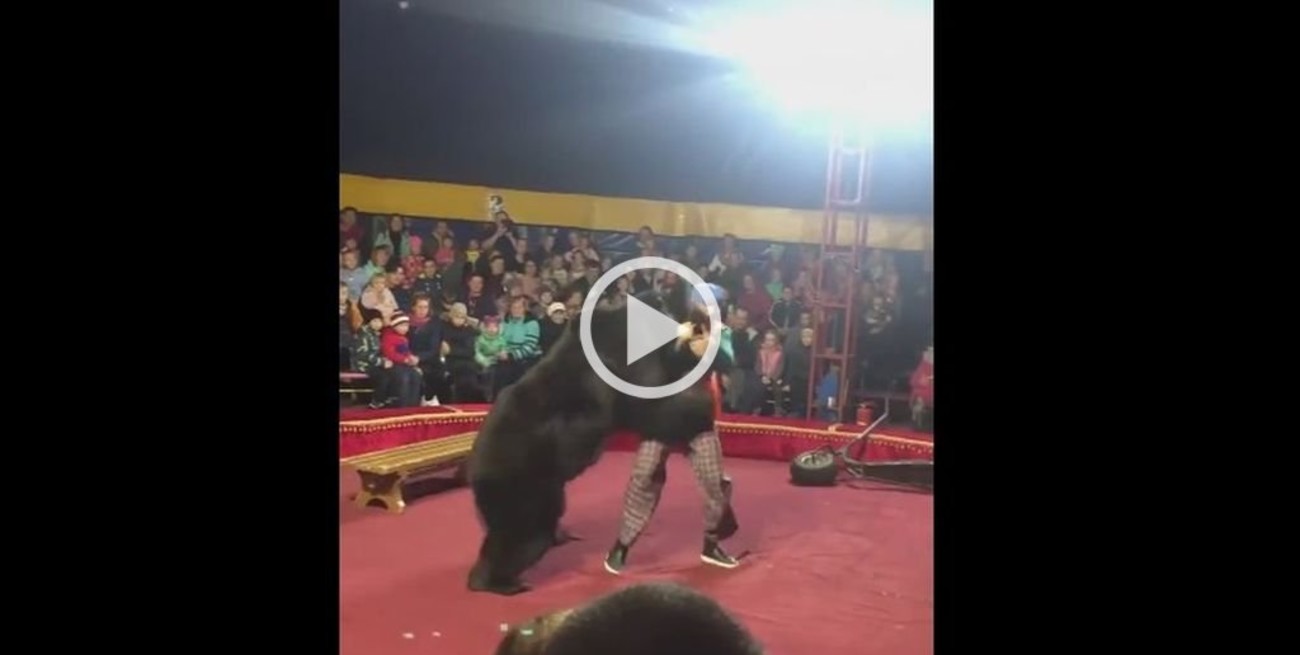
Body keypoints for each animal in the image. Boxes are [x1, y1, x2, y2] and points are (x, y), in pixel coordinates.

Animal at [466, 282, 720, 596]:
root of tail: (474, 465)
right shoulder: (622, 369)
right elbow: (656, 405)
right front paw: (699, 409)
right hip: (520, 483)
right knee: (522, 533)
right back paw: (502, 581)